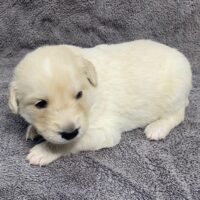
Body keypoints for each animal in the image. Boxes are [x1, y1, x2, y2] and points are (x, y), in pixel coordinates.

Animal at [8, 40, 192, 166]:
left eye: (79, 94)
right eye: (40, 104)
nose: (70, 132)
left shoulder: (106, 130)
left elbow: (74, 142)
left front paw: (43, 151)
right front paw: (33, 129)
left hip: (175, 93)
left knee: (177, 115)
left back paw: (157, 128)